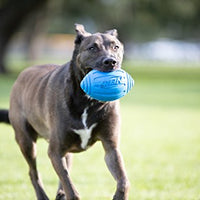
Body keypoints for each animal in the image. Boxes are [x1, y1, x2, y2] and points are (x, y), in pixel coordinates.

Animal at [0, 24, 130, 199]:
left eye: (116, 47)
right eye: (92, 47)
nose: (111, 61)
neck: (87, 101)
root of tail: (22, 74)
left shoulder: (111, 147)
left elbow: (123, 181)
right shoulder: (54, 151)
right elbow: (71, 188)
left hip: (65, 150)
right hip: (26, 141)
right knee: (33, 172)